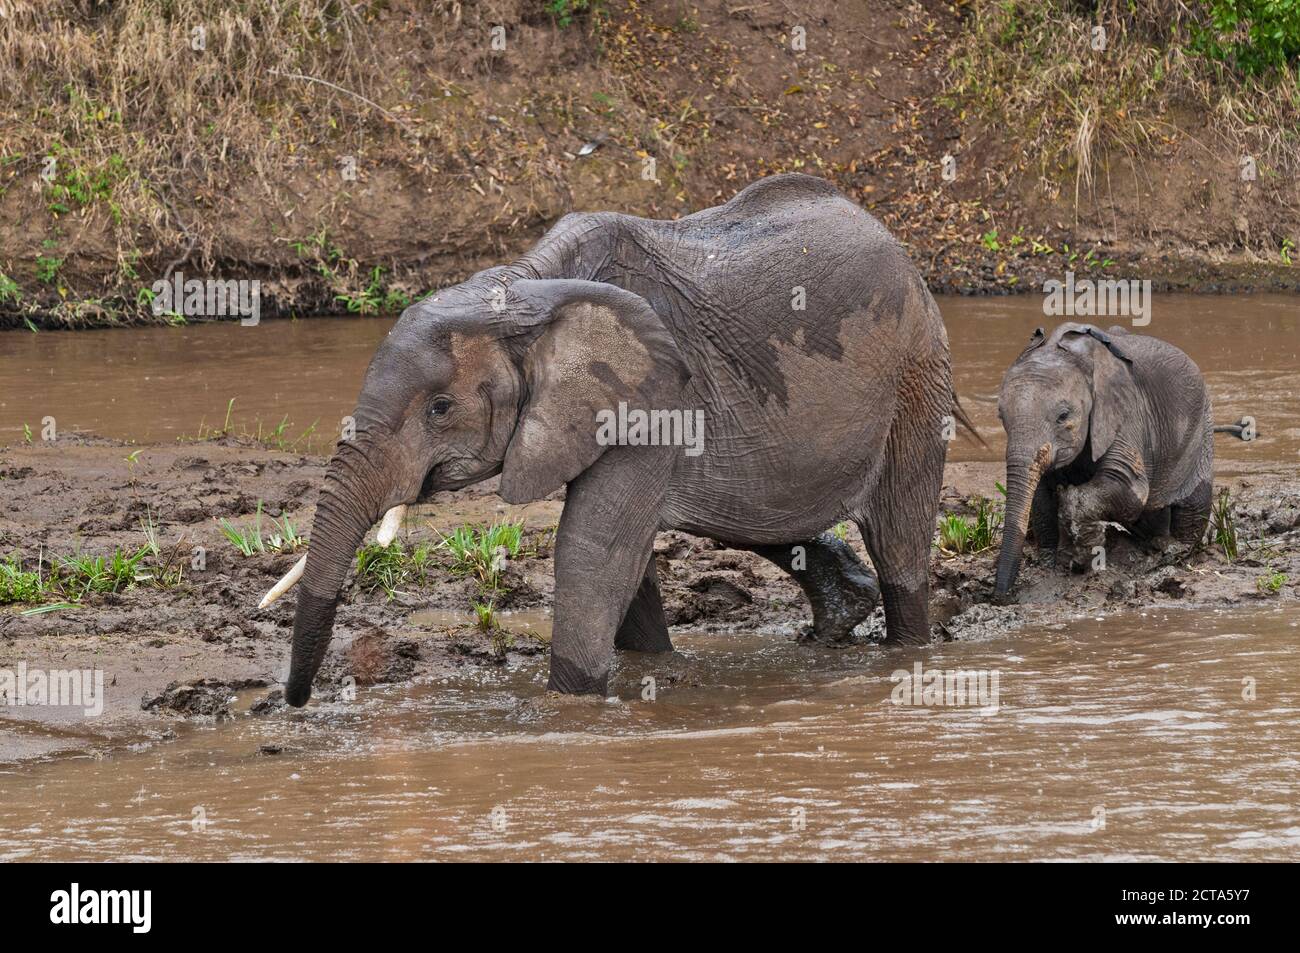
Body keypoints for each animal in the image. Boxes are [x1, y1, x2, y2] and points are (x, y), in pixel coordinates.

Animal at [266, 174, 956, 702]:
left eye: (439, 409)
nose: (293, 700)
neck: (524, 288)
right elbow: (624, 555)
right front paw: (652, 669)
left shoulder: (655, 398)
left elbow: (592, 549)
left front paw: (572, 708)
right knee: (756, 514)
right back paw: (841, 615)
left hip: (917, 378)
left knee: (898, 540)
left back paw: (904, 648)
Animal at [987, 323, 1232, 598]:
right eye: (1001, 416)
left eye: (1063, 416)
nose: (1000, 597)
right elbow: (1040, 496)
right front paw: (1052, 562)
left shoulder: (1125, 412)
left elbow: (1128, 487)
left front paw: (1083, 552)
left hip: (1200, 429)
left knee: (1192, 505)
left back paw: (1174, 554)